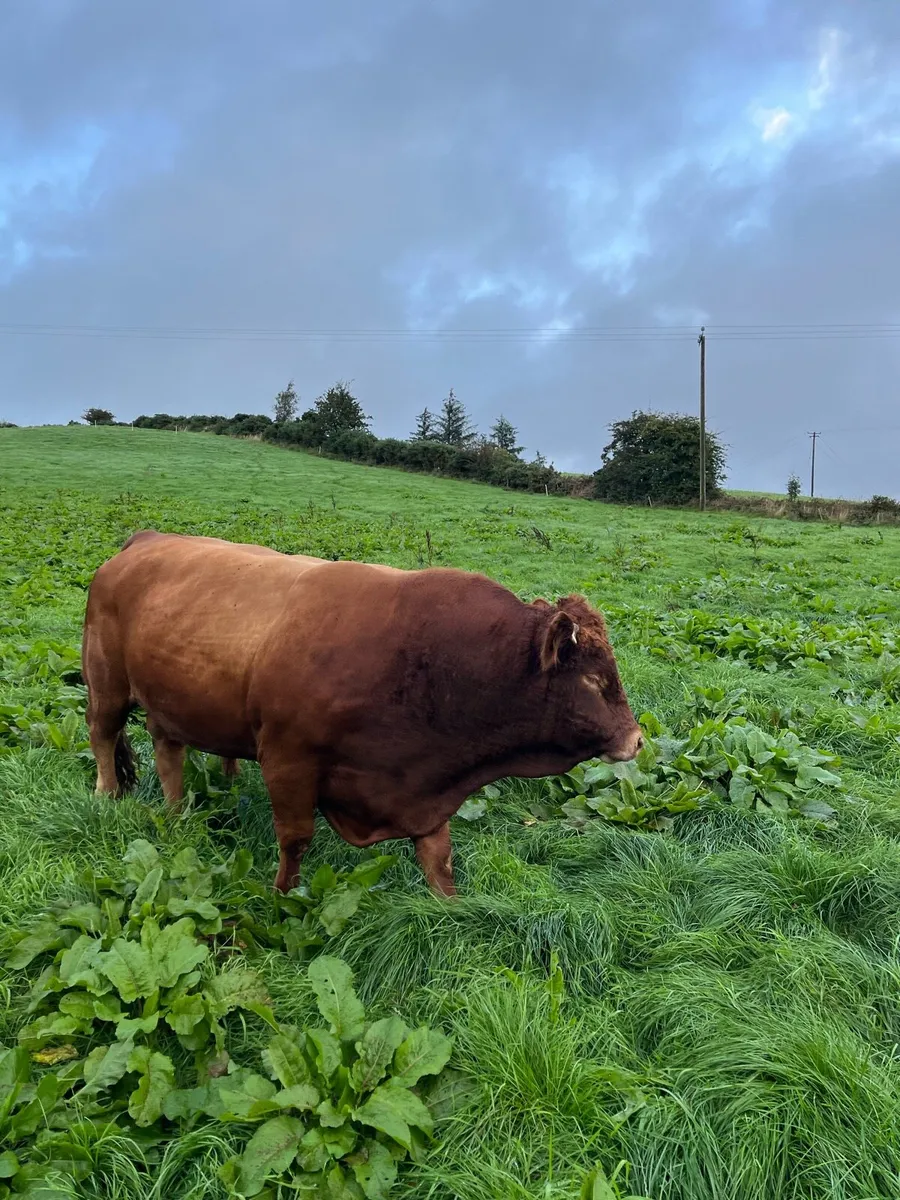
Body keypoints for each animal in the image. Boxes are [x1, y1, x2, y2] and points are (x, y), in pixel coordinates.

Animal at [83, 530, 642, 896]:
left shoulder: (423, 787)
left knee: (168, 753)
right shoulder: (287, 759)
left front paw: (450, 911)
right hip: (106, 684)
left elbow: (437, 857)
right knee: (103, 736)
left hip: (167, 703)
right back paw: (107, 794)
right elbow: (296, 839)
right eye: (594, 680)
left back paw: (178, 814)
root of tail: (144, 540)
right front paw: (283, 896)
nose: (636, 739)